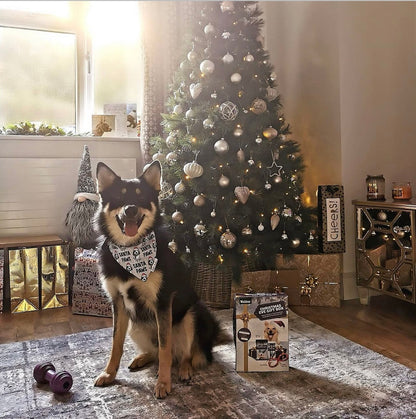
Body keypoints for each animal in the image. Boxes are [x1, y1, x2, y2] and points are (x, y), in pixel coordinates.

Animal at [94, 162, 224, 400]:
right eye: (119, 196)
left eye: (141, 196)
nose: (130, 209)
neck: (131, 252)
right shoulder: (118, 302)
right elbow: (116, 343)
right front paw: (109, 373)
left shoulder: (162, 302)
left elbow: (165, 348)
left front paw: (163, 383)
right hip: (135, 324)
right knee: (156, 351)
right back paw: (142, 358)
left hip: (193, 314)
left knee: (185, 354)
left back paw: (184, 369)